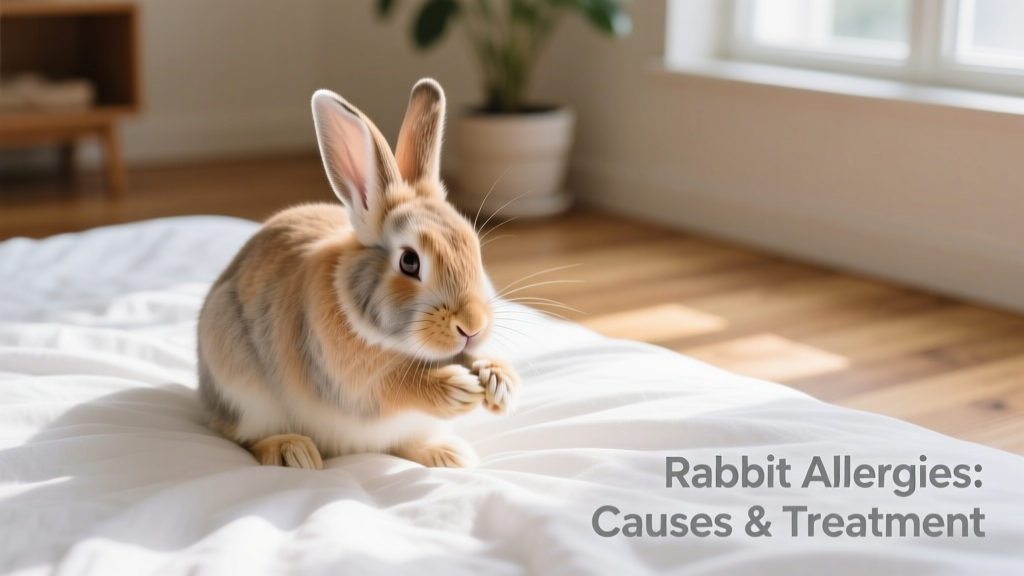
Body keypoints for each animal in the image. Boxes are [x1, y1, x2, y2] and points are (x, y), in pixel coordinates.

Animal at [196, 79, 519, 470]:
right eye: (409, 262)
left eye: (474, 248)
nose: (472, 326)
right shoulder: (351, 384)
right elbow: (391, 388)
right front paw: (457, 388)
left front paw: (499, 381)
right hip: (242, 390)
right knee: (243, 436)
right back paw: (293, 452)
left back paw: (449, 454)